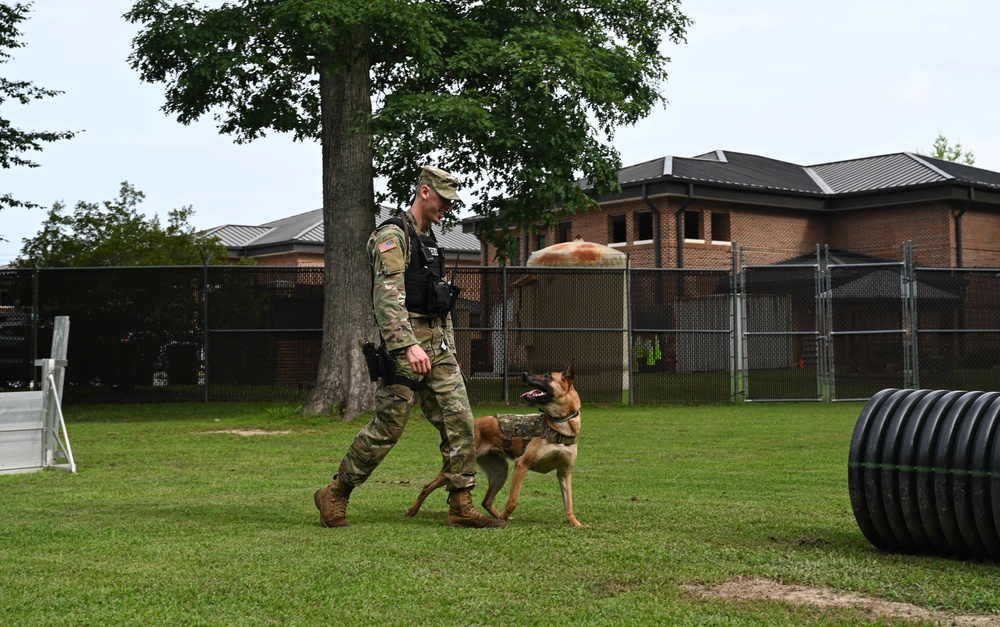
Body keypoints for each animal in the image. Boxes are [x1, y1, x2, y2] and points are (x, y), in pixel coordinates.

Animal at [404, 360, 584, 528]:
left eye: (547, 375)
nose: (524, 374)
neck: (560, 423)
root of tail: (471, 424)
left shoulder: (564, 473)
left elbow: (569, 503)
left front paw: (576, 523)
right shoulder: (522, 464)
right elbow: (513, 500)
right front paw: (504, 520)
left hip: (500, 472)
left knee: (486, 501)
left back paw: (497, 517)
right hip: (458, 469)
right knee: (427, 486)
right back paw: (413, 511)